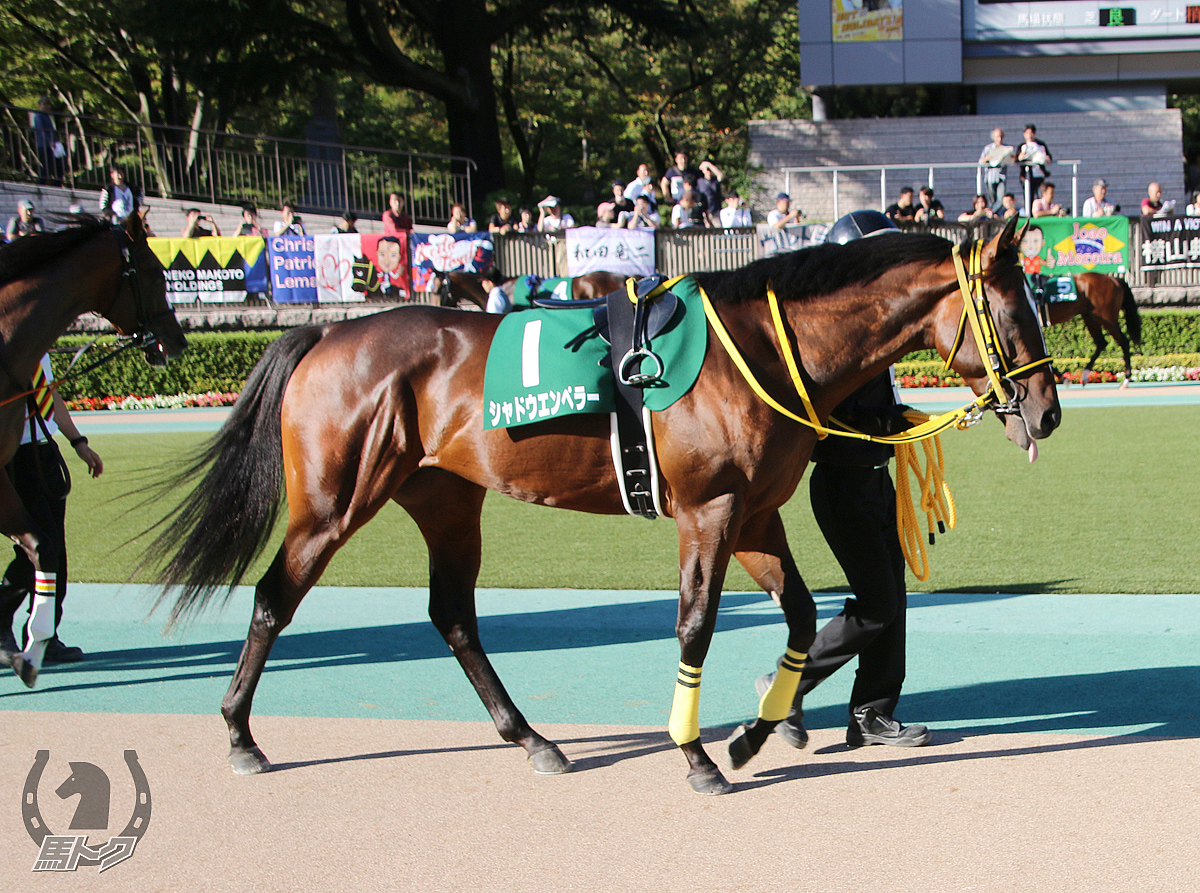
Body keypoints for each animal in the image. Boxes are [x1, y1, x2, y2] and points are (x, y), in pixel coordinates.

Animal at [145, 214, 1056, 796]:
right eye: (1015, 311)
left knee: (453, 615)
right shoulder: (709, 511)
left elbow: (801, 615)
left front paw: (757, 730)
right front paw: (696, 755)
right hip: (334, 501)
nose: (1046, 411)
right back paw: (240, 734)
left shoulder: (755, 511)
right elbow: (695, 625)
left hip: (446, 500)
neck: (759, 349)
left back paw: (533, 739)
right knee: (275, 597)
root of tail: (329, 333)